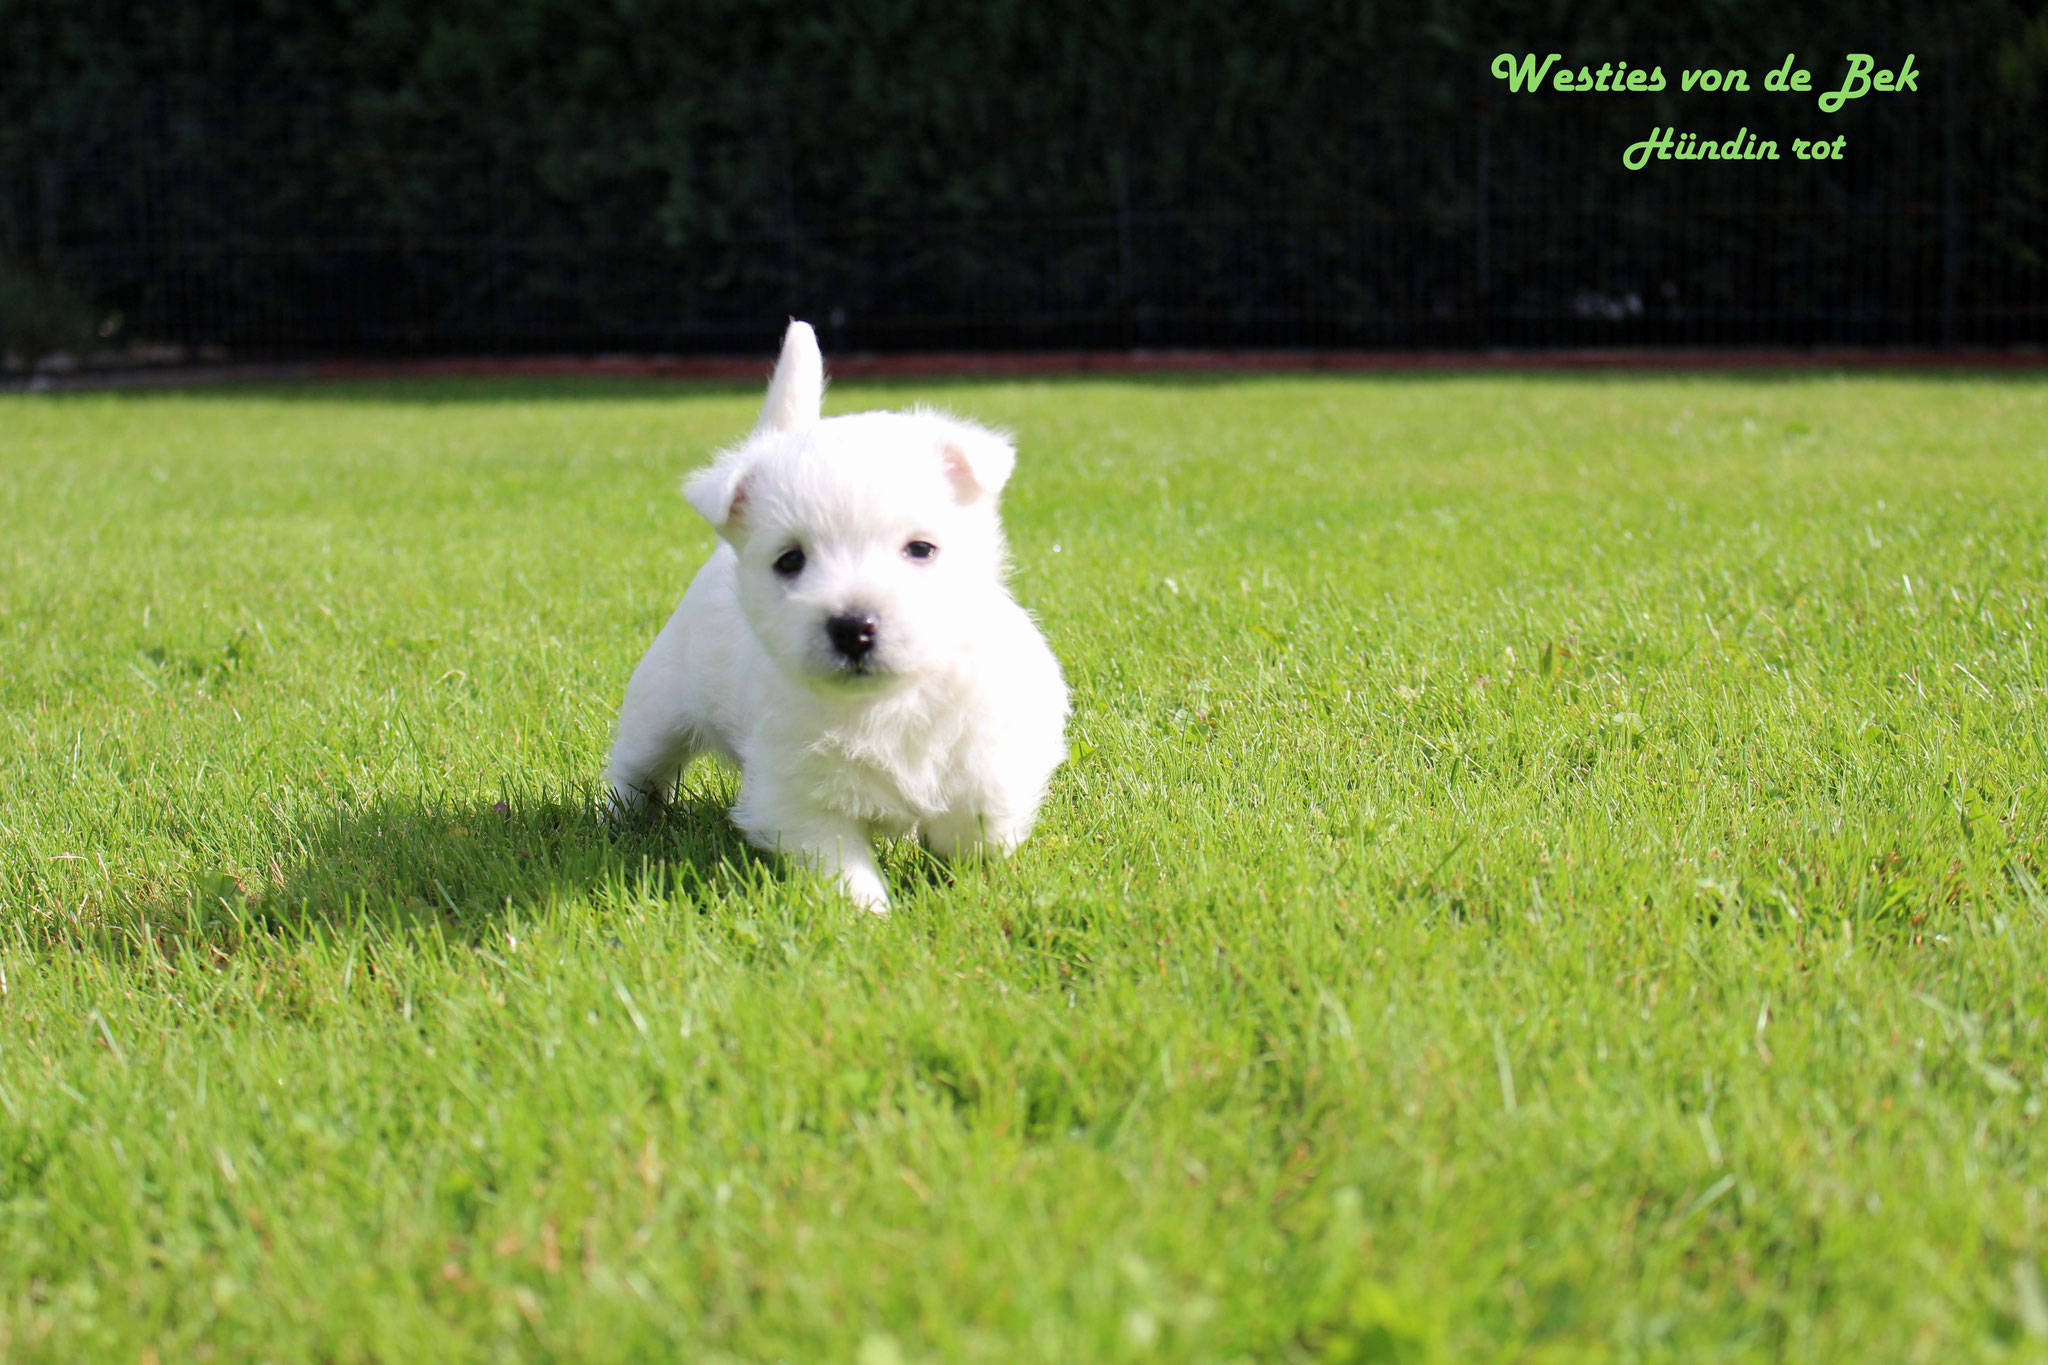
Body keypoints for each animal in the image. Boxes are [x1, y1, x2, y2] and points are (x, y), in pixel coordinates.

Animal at [602, 321, 1073, 912]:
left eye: (921, 549)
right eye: (790, 561)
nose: (854, 627)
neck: (889, 702)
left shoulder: (999, 744)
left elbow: (979, 822)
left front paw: (954, 861)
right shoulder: (798, 797)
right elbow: (843, 865)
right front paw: (872, 916)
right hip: (659, 709)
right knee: (637, 765)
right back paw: (620, 815)